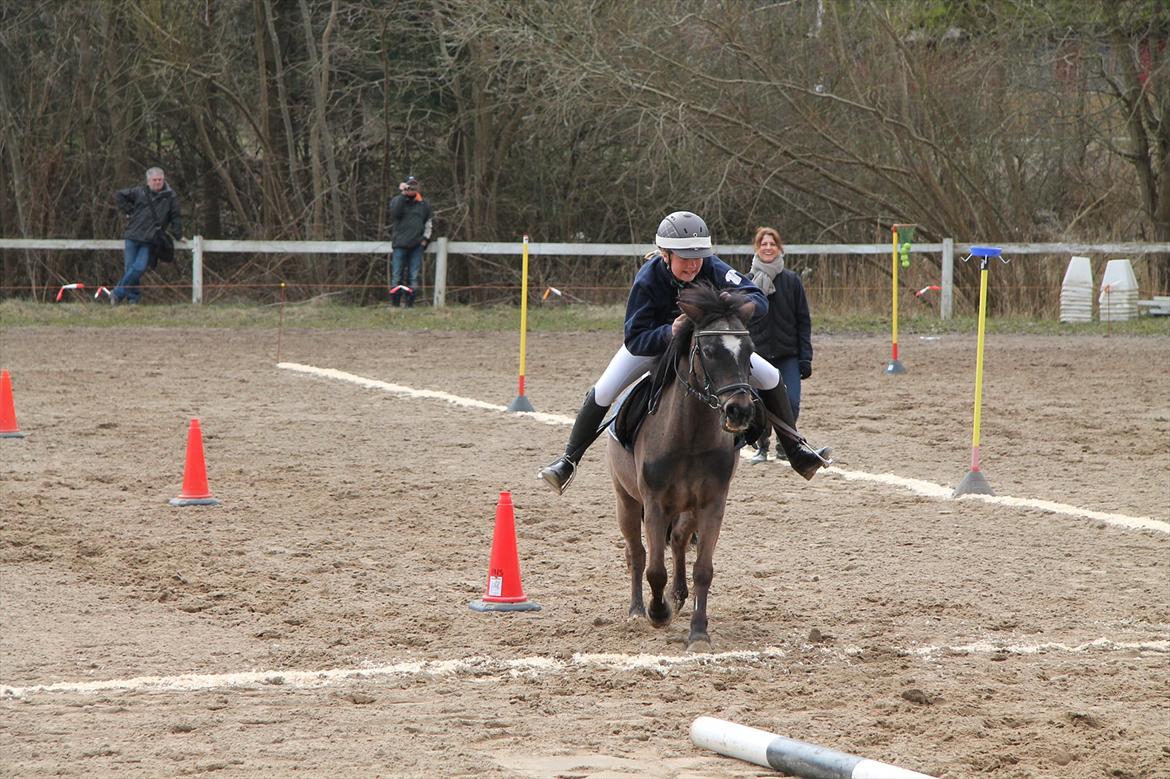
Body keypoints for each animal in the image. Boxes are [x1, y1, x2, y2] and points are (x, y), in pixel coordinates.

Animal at [606, 282, 759, 652]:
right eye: (708, 349)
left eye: (749, 350)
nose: (740, 410)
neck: (689, 436)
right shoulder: (654, 503)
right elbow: (654, 568)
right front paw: (657, 613)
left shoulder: (712, 504)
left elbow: (703, 569)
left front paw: (699, 632)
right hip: (625, 501)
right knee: (637, 553)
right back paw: (637, 610)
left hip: (687, 508)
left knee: (676, 541)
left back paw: (677, 596)